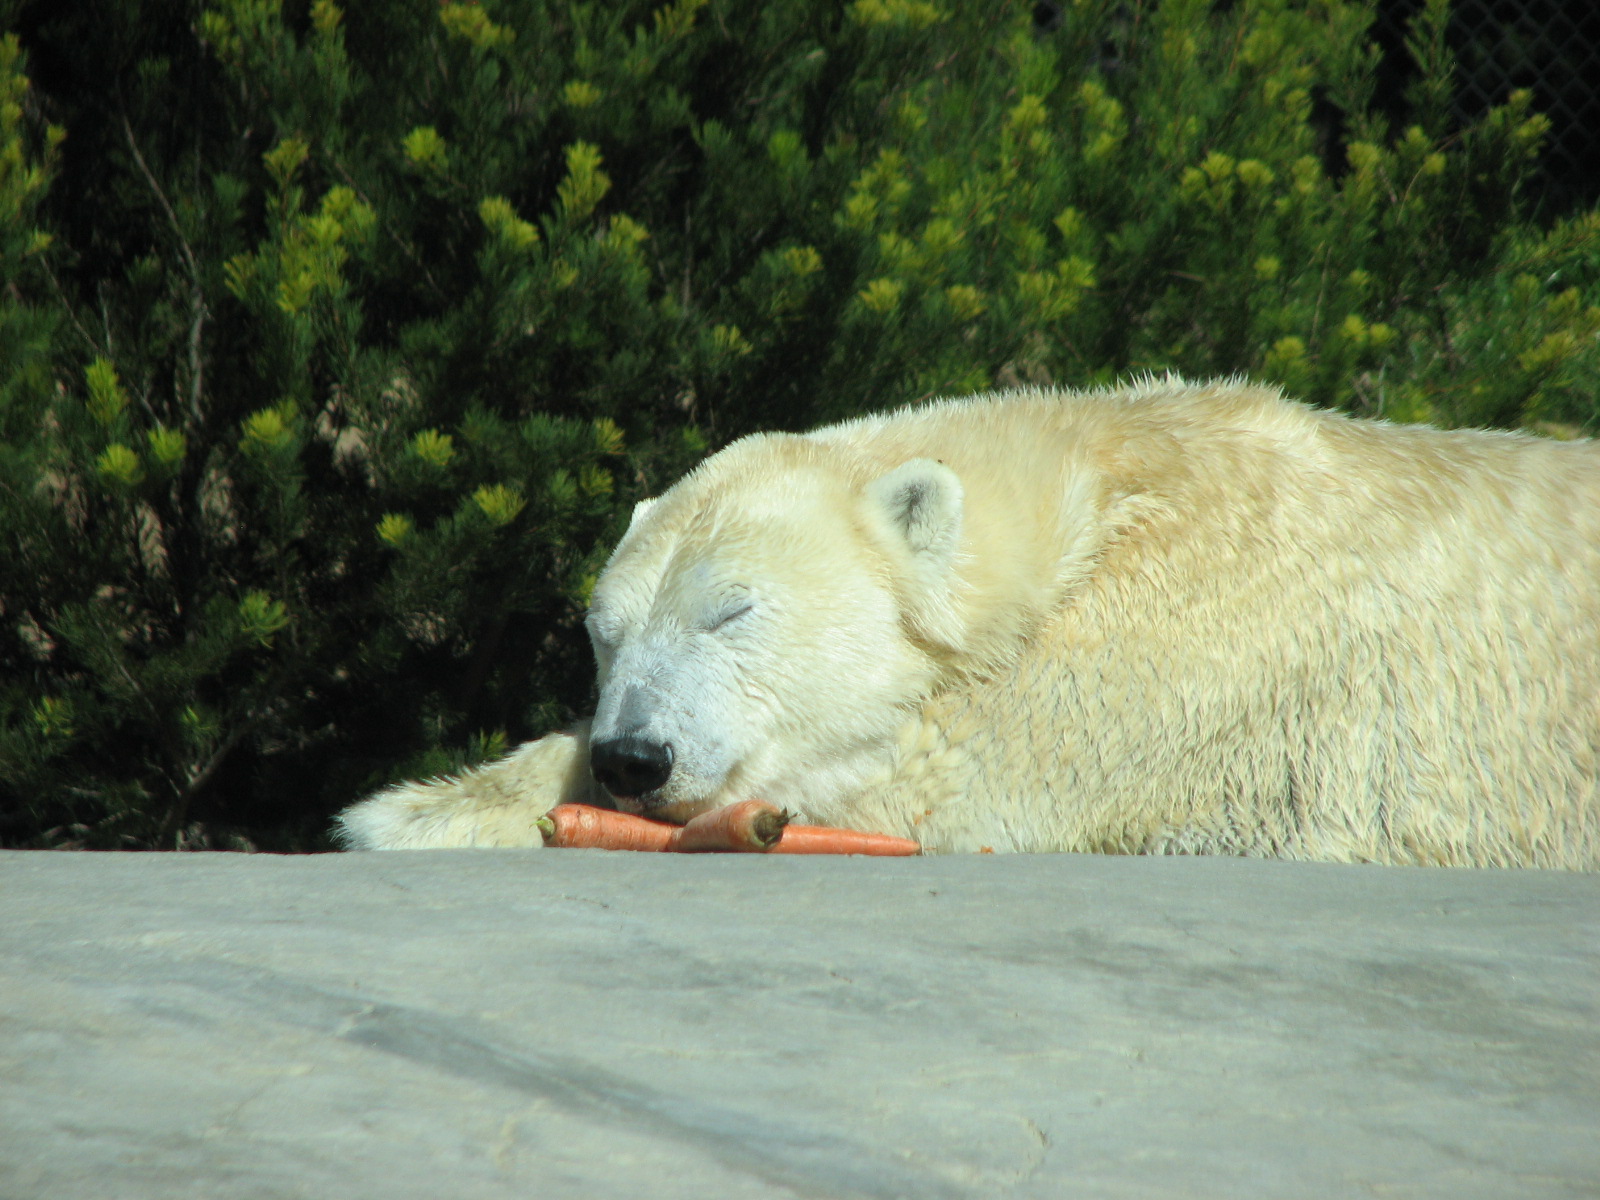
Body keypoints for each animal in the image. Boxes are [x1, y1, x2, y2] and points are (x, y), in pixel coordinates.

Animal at [336, 377, 1600, 868]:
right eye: (602, 633)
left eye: (731, 611)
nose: (631, 756)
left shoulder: (1197, 633)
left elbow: (957, 773)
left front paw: (414, 810)